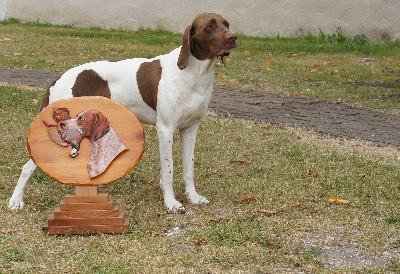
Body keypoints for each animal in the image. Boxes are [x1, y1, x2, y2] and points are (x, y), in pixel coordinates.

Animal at [9, 12, 236, 214]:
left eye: (227, 24)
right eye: (210, 26)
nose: (233, 37)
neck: (194, 73)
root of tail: (59, 78)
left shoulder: (190, 128)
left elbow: (188, 169)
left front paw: (193, 197)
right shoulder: (165, 129)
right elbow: (168, 171)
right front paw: (171, 203)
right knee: (27, 166)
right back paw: (16, 201)